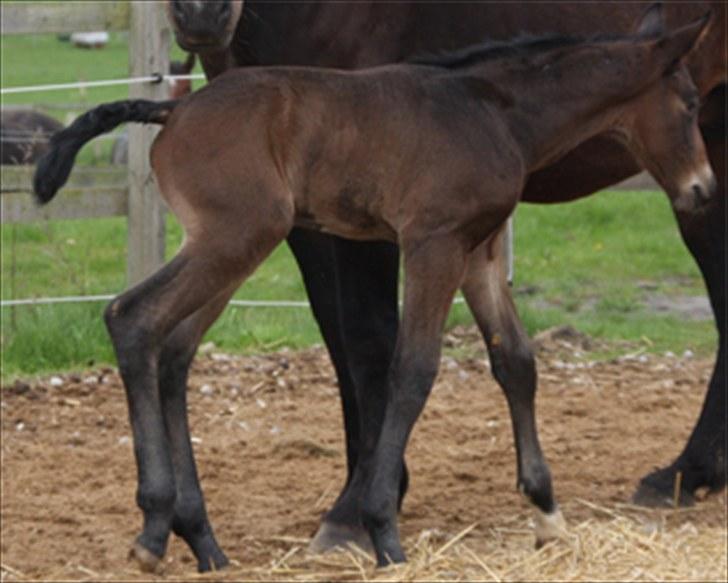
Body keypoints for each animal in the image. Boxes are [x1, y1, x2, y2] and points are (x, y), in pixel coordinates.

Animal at [32, 11, 712, 572]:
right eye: (689, 103)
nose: (703, 189)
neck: (492, 112)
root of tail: (172, 112)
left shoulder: (481, 251)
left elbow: (516, 362)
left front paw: (548, 515)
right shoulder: (433, 243)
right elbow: (413, 369)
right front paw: (382, 529)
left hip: (226, 247)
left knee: (173, 352)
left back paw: (202, 540)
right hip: (238, 237)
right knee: (134, 319)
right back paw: (154, 527)